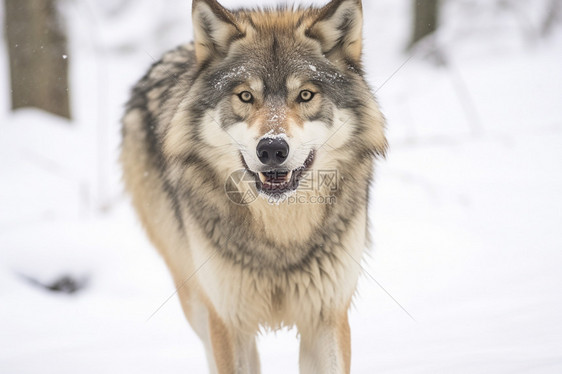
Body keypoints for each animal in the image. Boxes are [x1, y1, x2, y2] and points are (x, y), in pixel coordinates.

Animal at [121, 0, 384, 372]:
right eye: (245, 95)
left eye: (305, 94)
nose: (272, 149)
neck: (281, 237)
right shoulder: (226, 321)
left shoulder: (327, 317)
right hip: (196, 301)